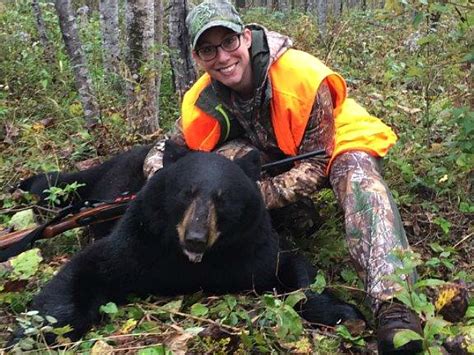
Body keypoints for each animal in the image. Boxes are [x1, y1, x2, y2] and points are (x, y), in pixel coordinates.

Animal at [9, 143, 362, 344]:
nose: (195, 237)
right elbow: (87, 268)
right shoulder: (140, 243)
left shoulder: (250, 250)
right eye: (186, 192)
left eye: (223, 198)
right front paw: (31, 334)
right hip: (100, 178)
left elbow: (295, 269)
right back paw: (24, 185)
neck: (193, 262)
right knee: (60, 184)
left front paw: (345, 311)